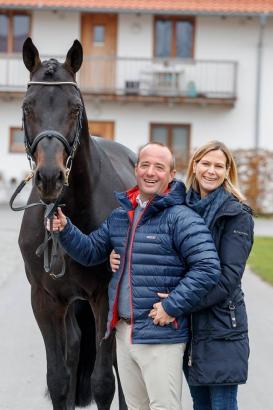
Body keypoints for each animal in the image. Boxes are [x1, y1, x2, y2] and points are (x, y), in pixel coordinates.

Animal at [16, 36, 135, 408]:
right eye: (27, 107)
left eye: (75, 108)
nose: (50, 177)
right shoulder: (44, 301)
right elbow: (58, 378)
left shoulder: (104, 298)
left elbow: (103, 382)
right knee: (73, 349)